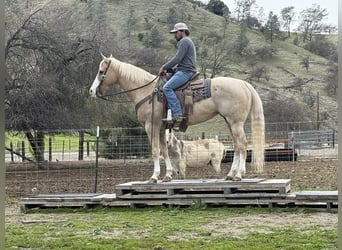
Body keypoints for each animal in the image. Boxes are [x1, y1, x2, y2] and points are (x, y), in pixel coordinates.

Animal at [88, 55, 264, 184]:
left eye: (101, 71)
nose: (91, 91)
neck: (147, 91)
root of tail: (243, 84)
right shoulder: (161, 128)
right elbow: (164, 151)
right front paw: (168, 175)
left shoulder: (151, 126)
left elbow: (155, 151)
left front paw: (154, 177)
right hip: (230, 122)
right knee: (237, 146)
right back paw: (231, 174)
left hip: (235, 123)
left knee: (242, 145)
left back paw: (239, 174)